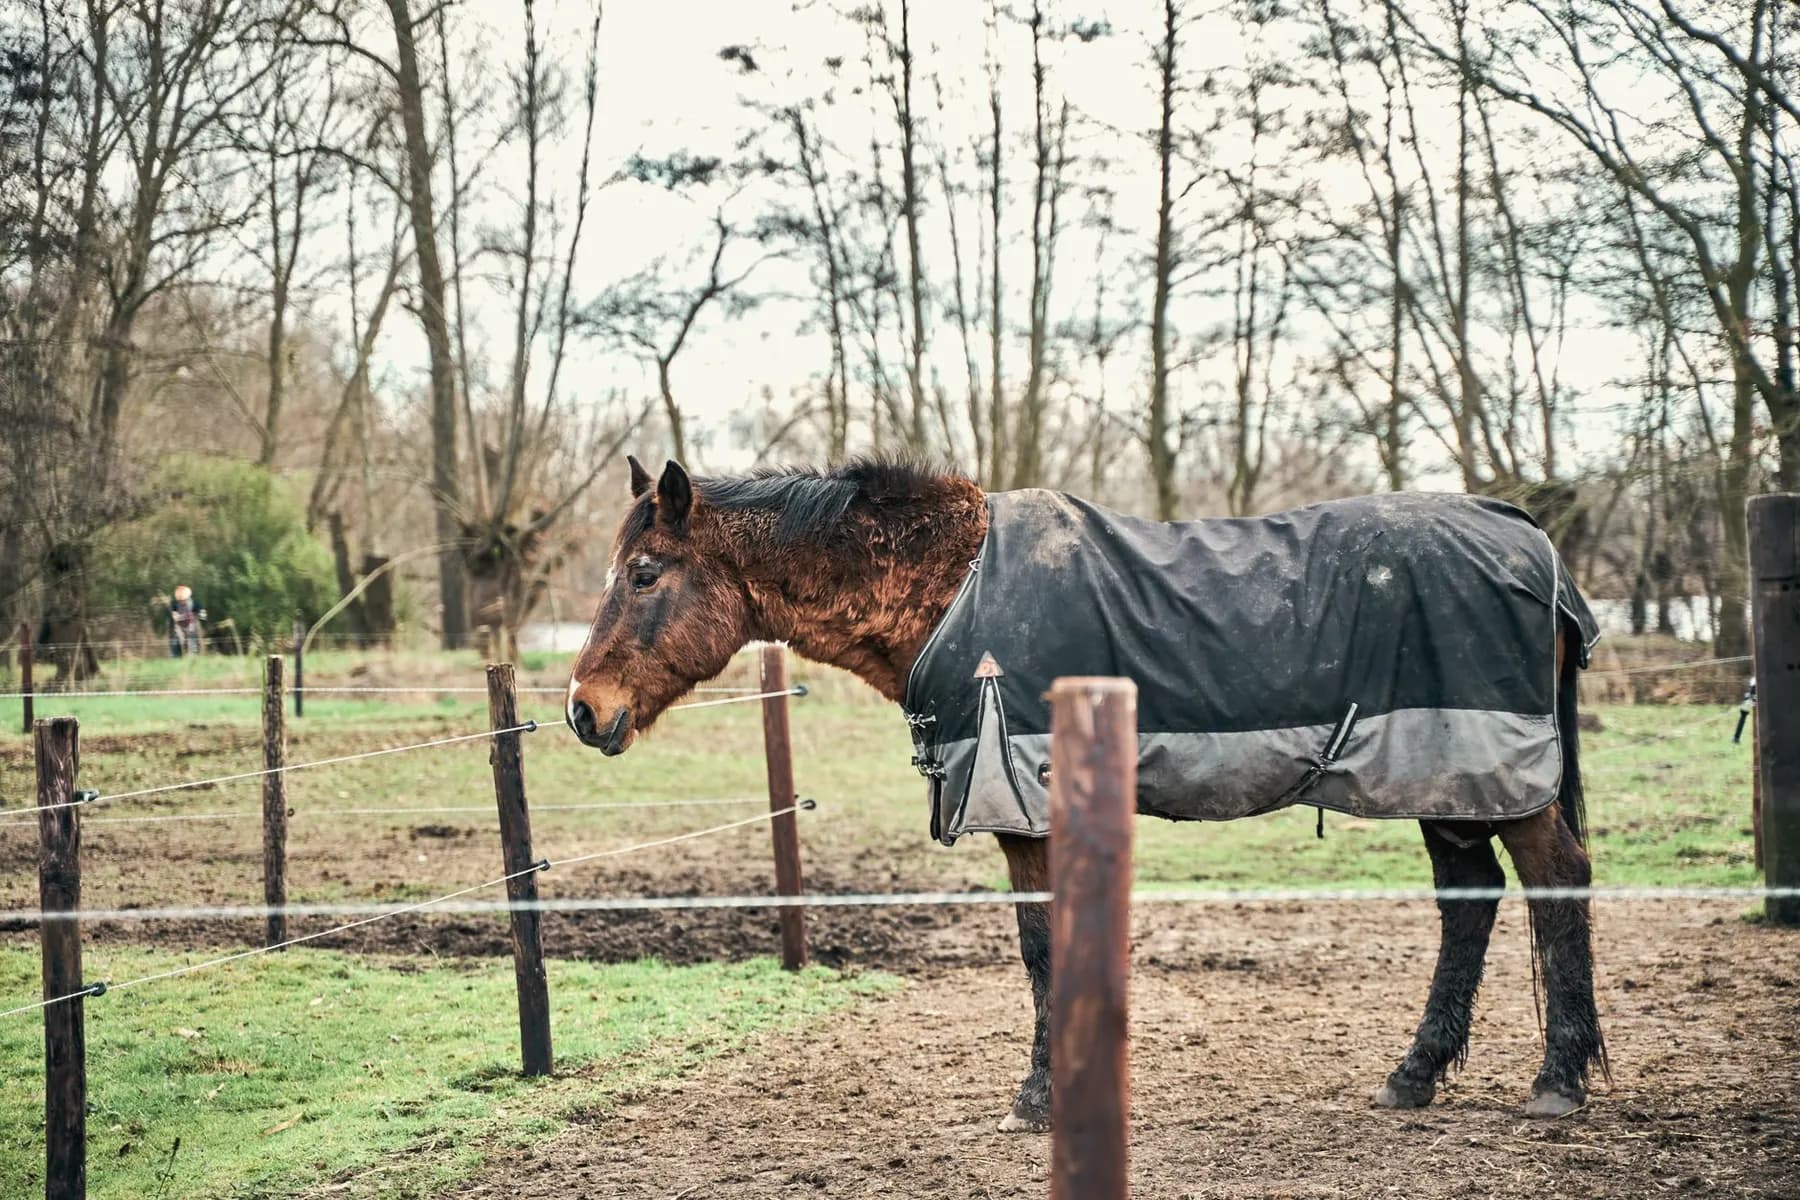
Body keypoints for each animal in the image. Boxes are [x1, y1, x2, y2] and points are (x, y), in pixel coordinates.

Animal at [564, 456, 1607, 1132]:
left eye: (645, 574)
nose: (582, 709)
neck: (952, 590)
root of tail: (1534, 548)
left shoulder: (1022, 806)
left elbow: (1039, 948)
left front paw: (1040, 1099)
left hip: (1495, 778)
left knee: (1557, 883)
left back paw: (1558, 1082)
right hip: (1449, 775)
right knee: (1470, 902)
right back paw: (1416, 1073)